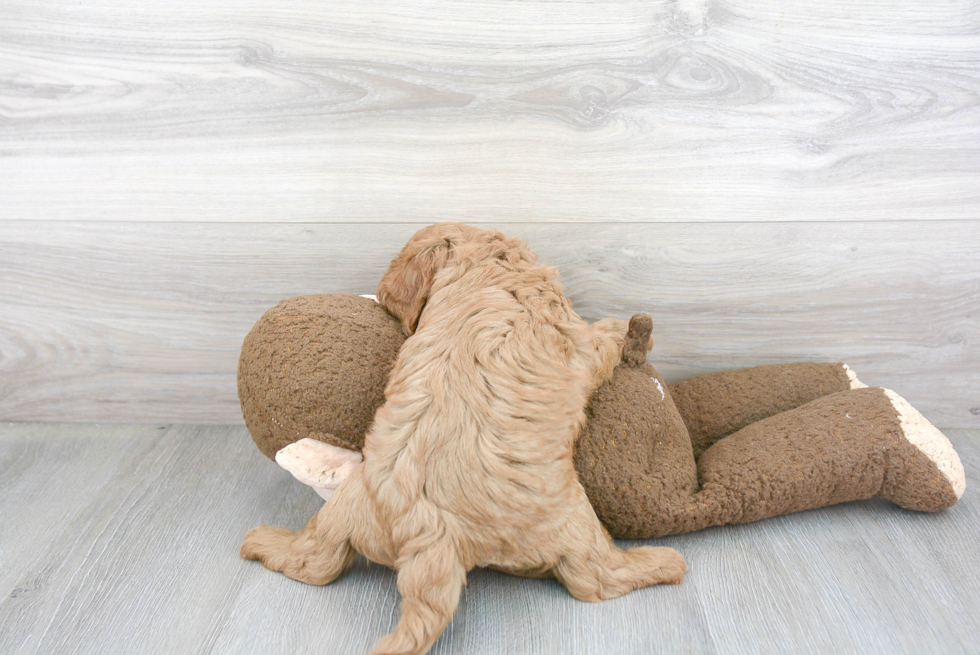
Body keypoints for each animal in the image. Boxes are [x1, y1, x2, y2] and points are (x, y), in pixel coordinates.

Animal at [240, 223, 684, 652]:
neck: (487, 268)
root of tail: (431, 533)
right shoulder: (576, 342)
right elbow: (599, 339)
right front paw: (621, 328)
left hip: (344, 511)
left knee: (314, 561)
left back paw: (261, 542)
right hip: (575, 524)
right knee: (594, 579)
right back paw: (664, 563)